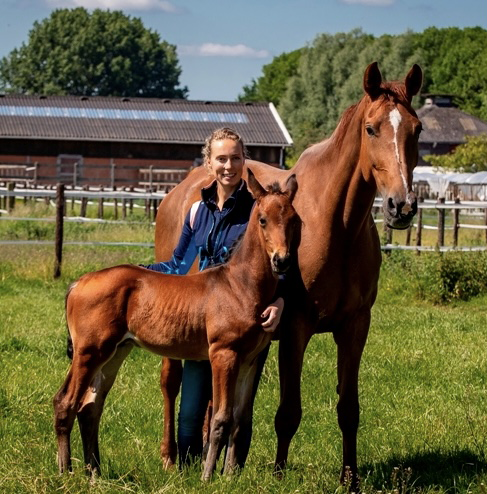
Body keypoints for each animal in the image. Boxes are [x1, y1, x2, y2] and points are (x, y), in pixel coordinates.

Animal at [52, 171, 298, 482]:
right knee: (65, 402)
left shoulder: (249, 361)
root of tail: (78, 283)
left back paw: (94, 471)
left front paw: (230, 477)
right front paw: (207, 477)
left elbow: (240, 420)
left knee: (89, 408)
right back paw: (65, 472)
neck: (239, 285)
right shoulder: (224, 354)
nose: (282, 260)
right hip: (89, 352)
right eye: (263, 219)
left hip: (114, 353)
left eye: (293, 219)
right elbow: (221, 417)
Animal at [152, 61, 424, 486]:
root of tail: (181, 190)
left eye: (417, 129)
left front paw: (350, 479)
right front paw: (278, 475)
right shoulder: (295, 327)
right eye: (371, 128)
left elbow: (349, 409)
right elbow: (288, 412)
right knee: (171, 383)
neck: (337, 224)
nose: (402, 207)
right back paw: (169, 457)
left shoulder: (355, 326)